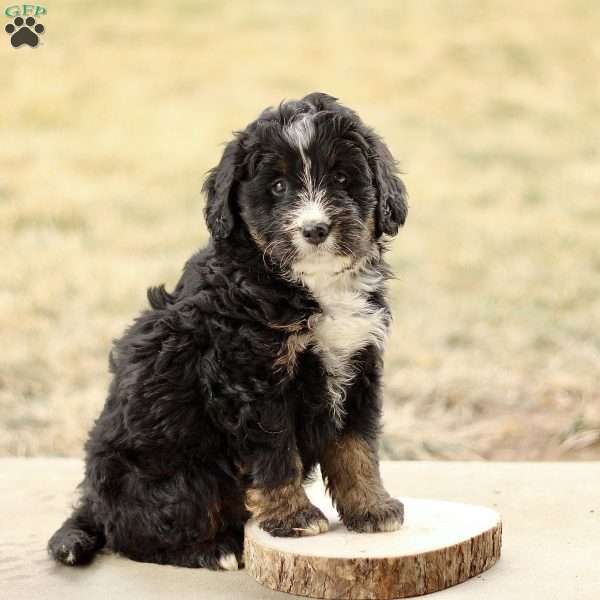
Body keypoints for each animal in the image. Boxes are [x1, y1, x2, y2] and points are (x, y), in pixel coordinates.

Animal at [49, 91, 410, 568]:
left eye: (342, 178)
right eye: (277, 187)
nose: (315, 229)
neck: (306, 284)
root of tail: (91, 502)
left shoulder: (358, 362)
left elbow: (357, 448)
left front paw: (372, 508)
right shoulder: (252, 377)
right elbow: (275, 455)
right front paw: (294, 518)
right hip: (179, 475)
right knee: (139, 533)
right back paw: (215, 549)